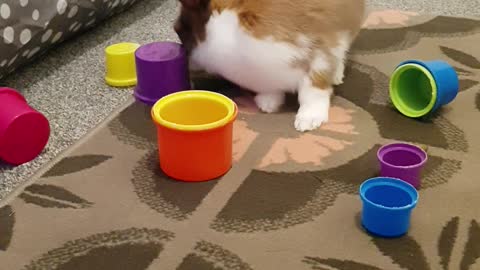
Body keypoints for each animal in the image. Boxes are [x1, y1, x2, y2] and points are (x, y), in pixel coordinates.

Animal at [174, 0, 366, 131]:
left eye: (180, 29)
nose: (185, 57)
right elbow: (271, 90)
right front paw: (268, 104)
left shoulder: (319, 53)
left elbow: (312, 92)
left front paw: (308, 121)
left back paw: (337, 75)